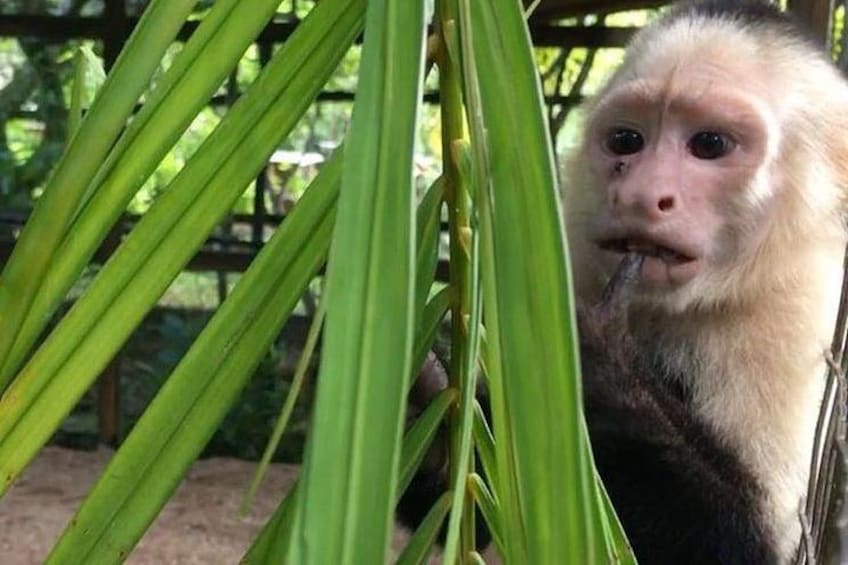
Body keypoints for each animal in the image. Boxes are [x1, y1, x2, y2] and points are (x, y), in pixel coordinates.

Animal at [563, 0, 848, 562]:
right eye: (626, 141)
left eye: (709, 144)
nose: (640, 194)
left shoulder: (796, 312)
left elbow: (761, 543)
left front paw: (597, 362)